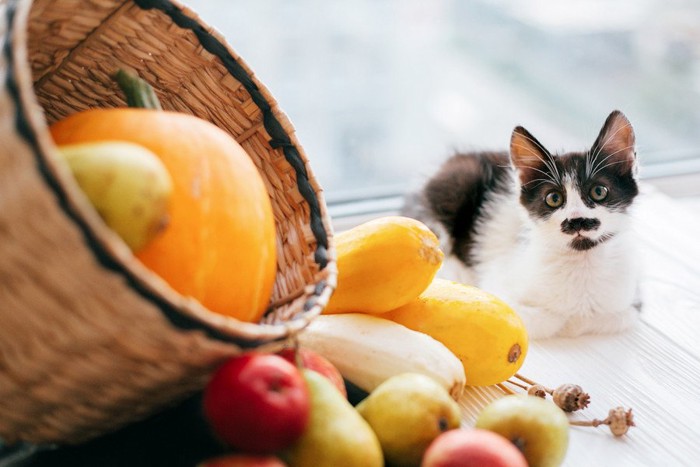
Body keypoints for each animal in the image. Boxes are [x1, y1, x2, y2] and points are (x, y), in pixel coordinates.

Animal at [402, 110, 644, 340]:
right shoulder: (498, 282)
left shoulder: (632, 301)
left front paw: (576, 320)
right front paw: (566, 320)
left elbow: (611, 317)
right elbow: (544, 320)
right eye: (554, 198)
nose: (577, 220)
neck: (581, 261)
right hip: (457, 181)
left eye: (599, 191)